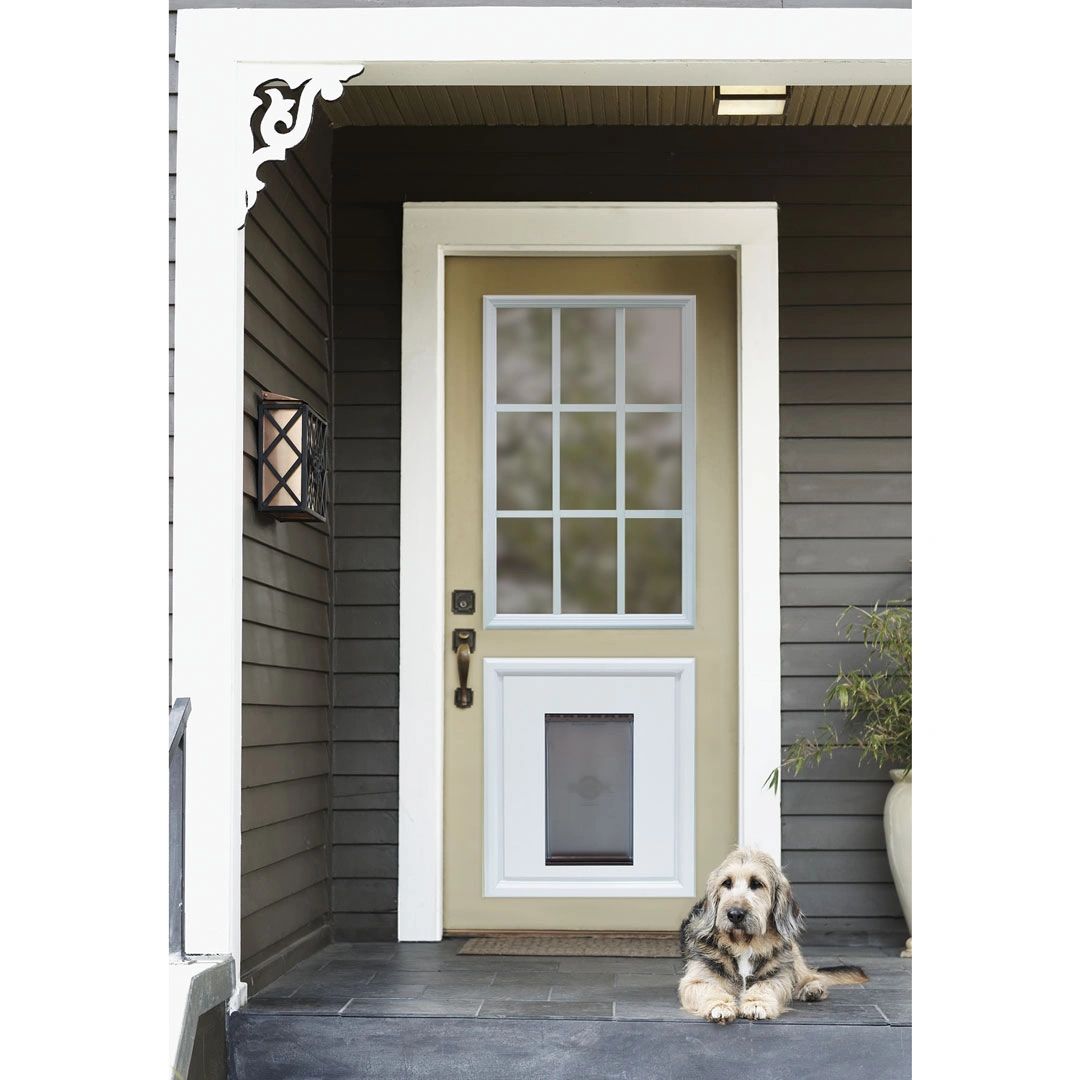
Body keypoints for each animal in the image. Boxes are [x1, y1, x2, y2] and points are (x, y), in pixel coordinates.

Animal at [678, 842, 864, 1019]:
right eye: (726, 883)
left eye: (756, 884)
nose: (735, 914)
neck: (743, 943)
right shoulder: (695, 979)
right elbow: (709, 988)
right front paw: (720, 1005)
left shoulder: (779, 975)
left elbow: (765, 984)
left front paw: (756, 1003)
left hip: (793, 956)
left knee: (811, 975)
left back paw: (812, 988)